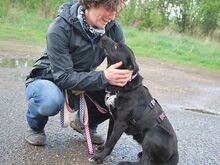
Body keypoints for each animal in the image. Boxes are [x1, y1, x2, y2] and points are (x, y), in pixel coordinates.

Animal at [91, 36, 179, 165]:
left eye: (116, 46)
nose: (103, 36)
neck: (121, 88)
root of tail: (175, 154)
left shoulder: (121, 123)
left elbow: (111, 141)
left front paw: (100, 157)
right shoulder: (113, 119)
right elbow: (109, 137)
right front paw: (103, 151)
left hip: (152, 135)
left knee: (145, 162)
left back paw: (126, 163)